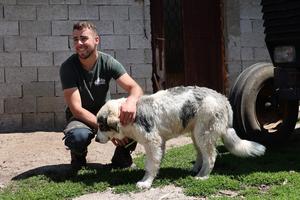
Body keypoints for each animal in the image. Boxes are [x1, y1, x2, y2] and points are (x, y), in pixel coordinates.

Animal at [95, 86, 264, 189]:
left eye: (102, 126)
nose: (96, 139)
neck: (128, 115)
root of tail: (223, 98)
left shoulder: (153, 143)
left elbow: (151, 164)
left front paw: (145, 182)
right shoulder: (159, 143)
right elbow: (155, 163)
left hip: (204, 134)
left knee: (210, 157)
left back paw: (202, 176)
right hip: (196, 134)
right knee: (201, 154)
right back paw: (195, 169)